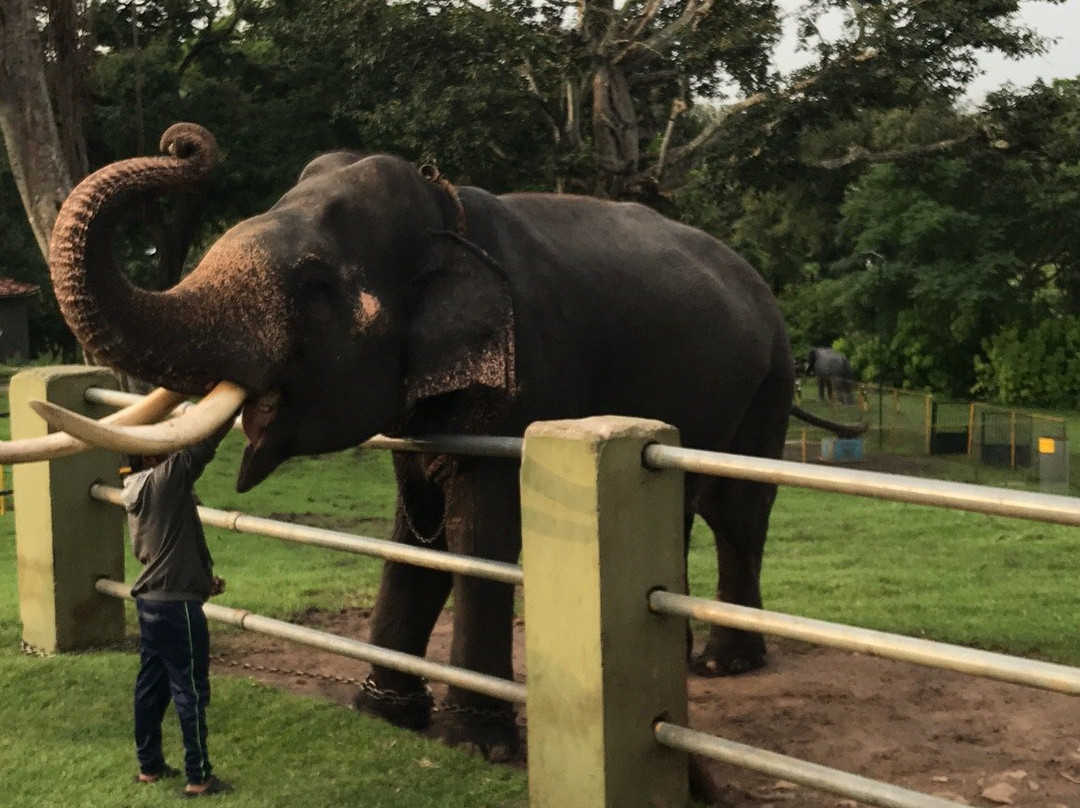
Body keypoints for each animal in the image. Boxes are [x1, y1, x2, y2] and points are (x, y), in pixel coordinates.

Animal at [27, 123, 868, 769]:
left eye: (313, 285)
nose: (183, 141)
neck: (446, 208)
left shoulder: (531, 379)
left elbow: (479, 533)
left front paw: (478, 746)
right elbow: (416, 535)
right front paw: (382, 712)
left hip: (769, 378)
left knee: (738, 511)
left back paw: (724, 663)